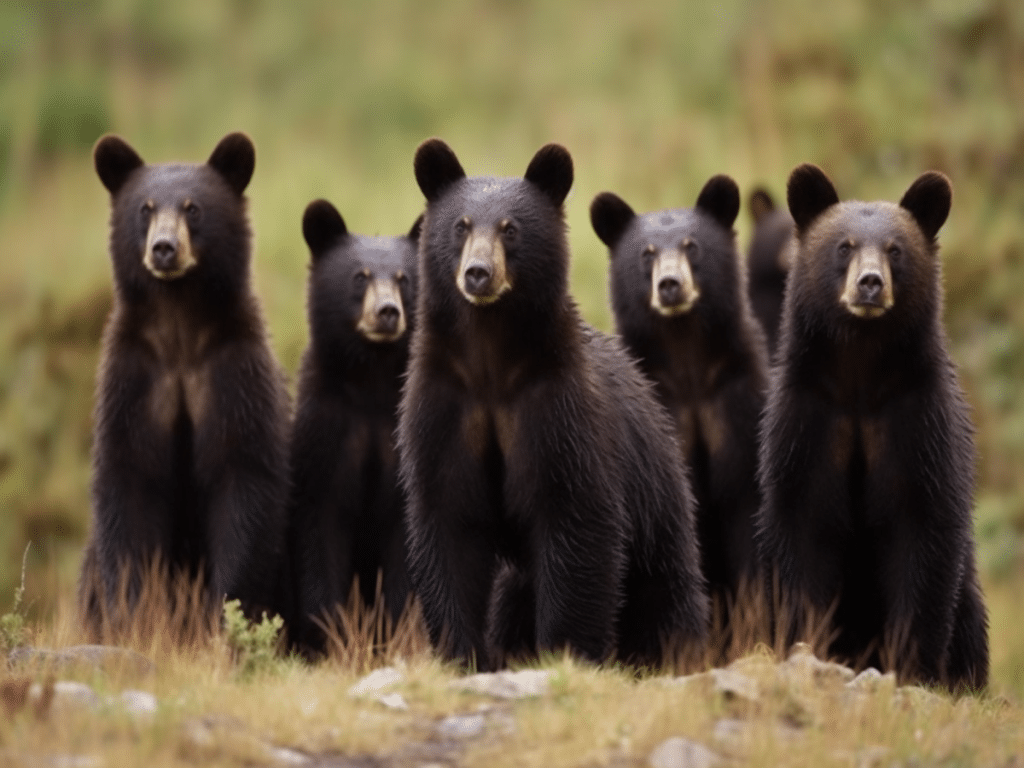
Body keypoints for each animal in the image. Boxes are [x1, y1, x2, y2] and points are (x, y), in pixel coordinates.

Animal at [80, 132, 291, 636]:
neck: (179, 328)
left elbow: (242, 484)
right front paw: (136, 615)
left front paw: (225, 617)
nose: (164, 248)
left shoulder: (234, 377)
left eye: (193, 208)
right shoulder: (134, 380)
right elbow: (128, 485)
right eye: (145, 208)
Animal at [287, 199, 421, 654]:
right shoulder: (325, 434)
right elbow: (319, 540)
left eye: (404, 279)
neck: (371, 384)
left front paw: (398, 638)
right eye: (360, 277)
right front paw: (329, 641)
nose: (388, 313)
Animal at [397, 138, 710, 671]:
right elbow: (448, 524)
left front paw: (564, 651)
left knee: (666, 599)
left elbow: (577, 522)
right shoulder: (443, 410)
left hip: (660, 515)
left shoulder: (559, 413)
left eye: (510, 228)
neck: (491, 362)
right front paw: (464, 653)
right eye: (460, 226)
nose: (478, 274)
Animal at [754, 163, 988, 691]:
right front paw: (805, 647)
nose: (870, 284)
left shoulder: (919, 424)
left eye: (895, 250)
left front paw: (913, 667)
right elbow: (803, 532)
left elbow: (923, 535)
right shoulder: (807, 422)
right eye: (843, 247)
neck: (860, 373)